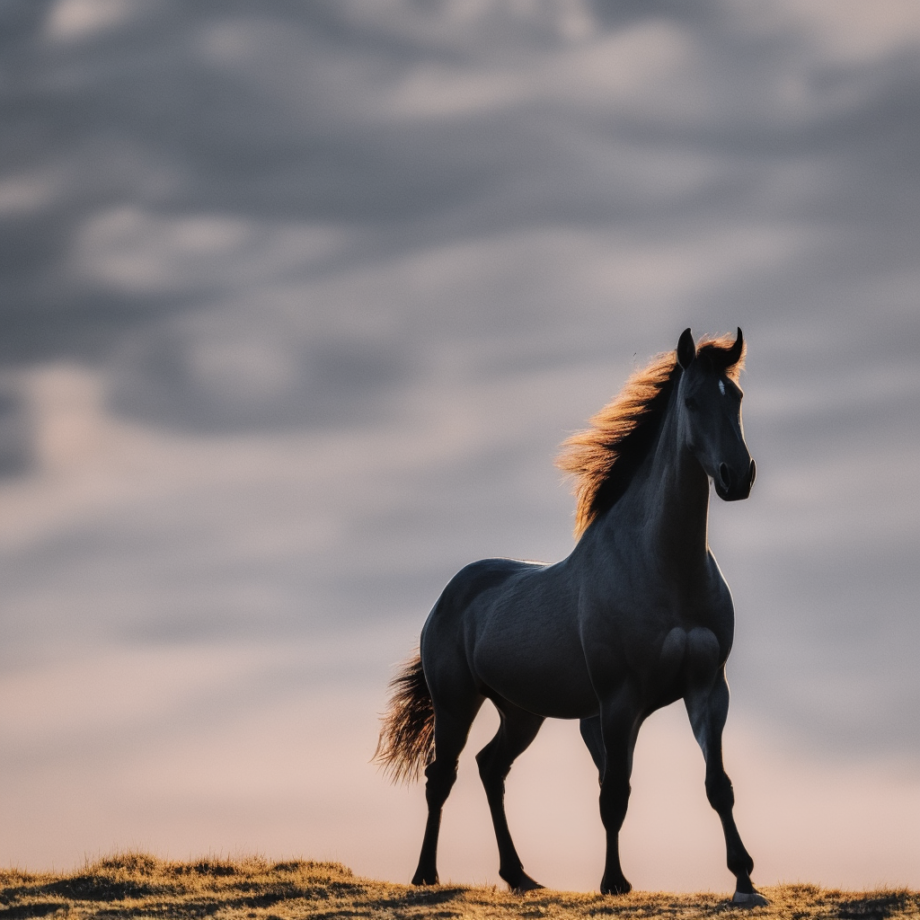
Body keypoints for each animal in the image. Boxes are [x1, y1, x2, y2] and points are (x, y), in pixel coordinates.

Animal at [374, 328, 764, 904]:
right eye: (693, 401)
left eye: (734, 397)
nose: (736, 478)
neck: (662, 566)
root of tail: (450, 595)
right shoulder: (619, 701)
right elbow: (614, 792)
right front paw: (614, 882)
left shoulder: (708, 688)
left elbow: (718, 786)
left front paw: (744, 879)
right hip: (456, 703)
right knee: (441, 776)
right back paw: (426, 874)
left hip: (521, 713)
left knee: (491, 769)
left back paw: (519, 875)